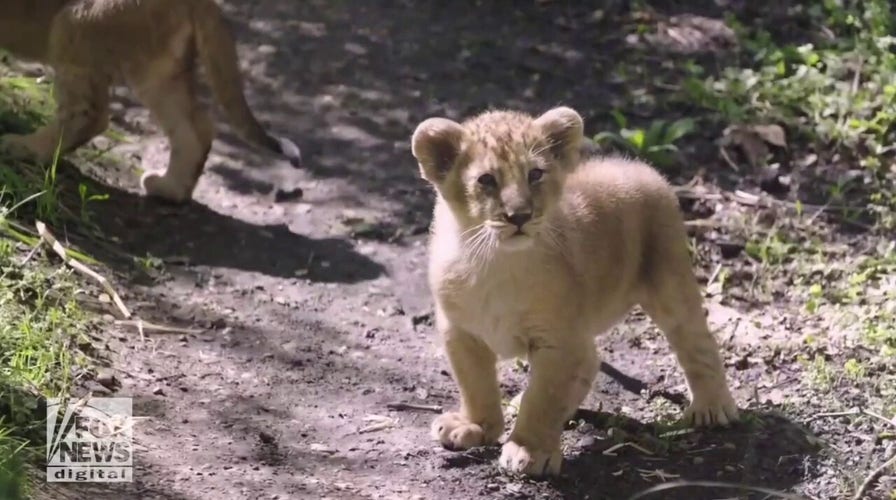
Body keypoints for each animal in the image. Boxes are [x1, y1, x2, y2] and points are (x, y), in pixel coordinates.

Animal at [0, 0, 302, 202]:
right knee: (196, 129)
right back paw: (169, 189)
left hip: (76, 25)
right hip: (158, 70)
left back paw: (23, 147)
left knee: (90, 115)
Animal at [411, 106, 739, 477]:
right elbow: (475, 383)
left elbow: (543, 397)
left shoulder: (561, 342)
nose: (519, 216)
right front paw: (475, 426)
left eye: (535, 174)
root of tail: (638, 166)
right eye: (486, 180)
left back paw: (712, 406)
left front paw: (530, 450)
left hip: (670, 282)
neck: (495, 261)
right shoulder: (461, 331)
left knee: (696, 341)